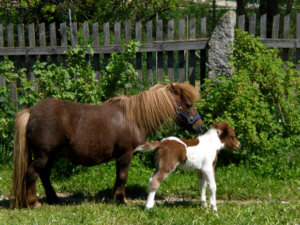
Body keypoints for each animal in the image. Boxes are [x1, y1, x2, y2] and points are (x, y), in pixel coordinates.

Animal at [11, 82, 204, 207]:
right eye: (188, 104)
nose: (200, 126)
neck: (133, 119)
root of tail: (31, 111)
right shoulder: (126, 154)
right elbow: (123, 176)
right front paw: (121, 200)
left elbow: (119, 177)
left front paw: (116, 197)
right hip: (43, 155)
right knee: (32, 173)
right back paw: (34, 203)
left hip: (50, 155)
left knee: (44, 175)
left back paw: (53, 199)